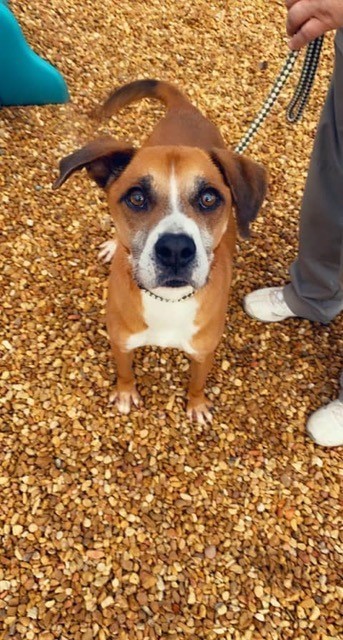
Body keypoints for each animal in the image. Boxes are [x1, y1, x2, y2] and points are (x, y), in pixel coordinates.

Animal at [53, 79, 268, 420]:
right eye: (137, 197)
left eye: (209, 198)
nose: (176, 249)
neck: (168, 299)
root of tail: (184, 108)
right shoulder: (121, 341)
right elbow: (124, 372)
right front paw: (125, 394)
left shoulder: (203, 351)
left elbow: (197, 382)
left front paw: (197, 405)